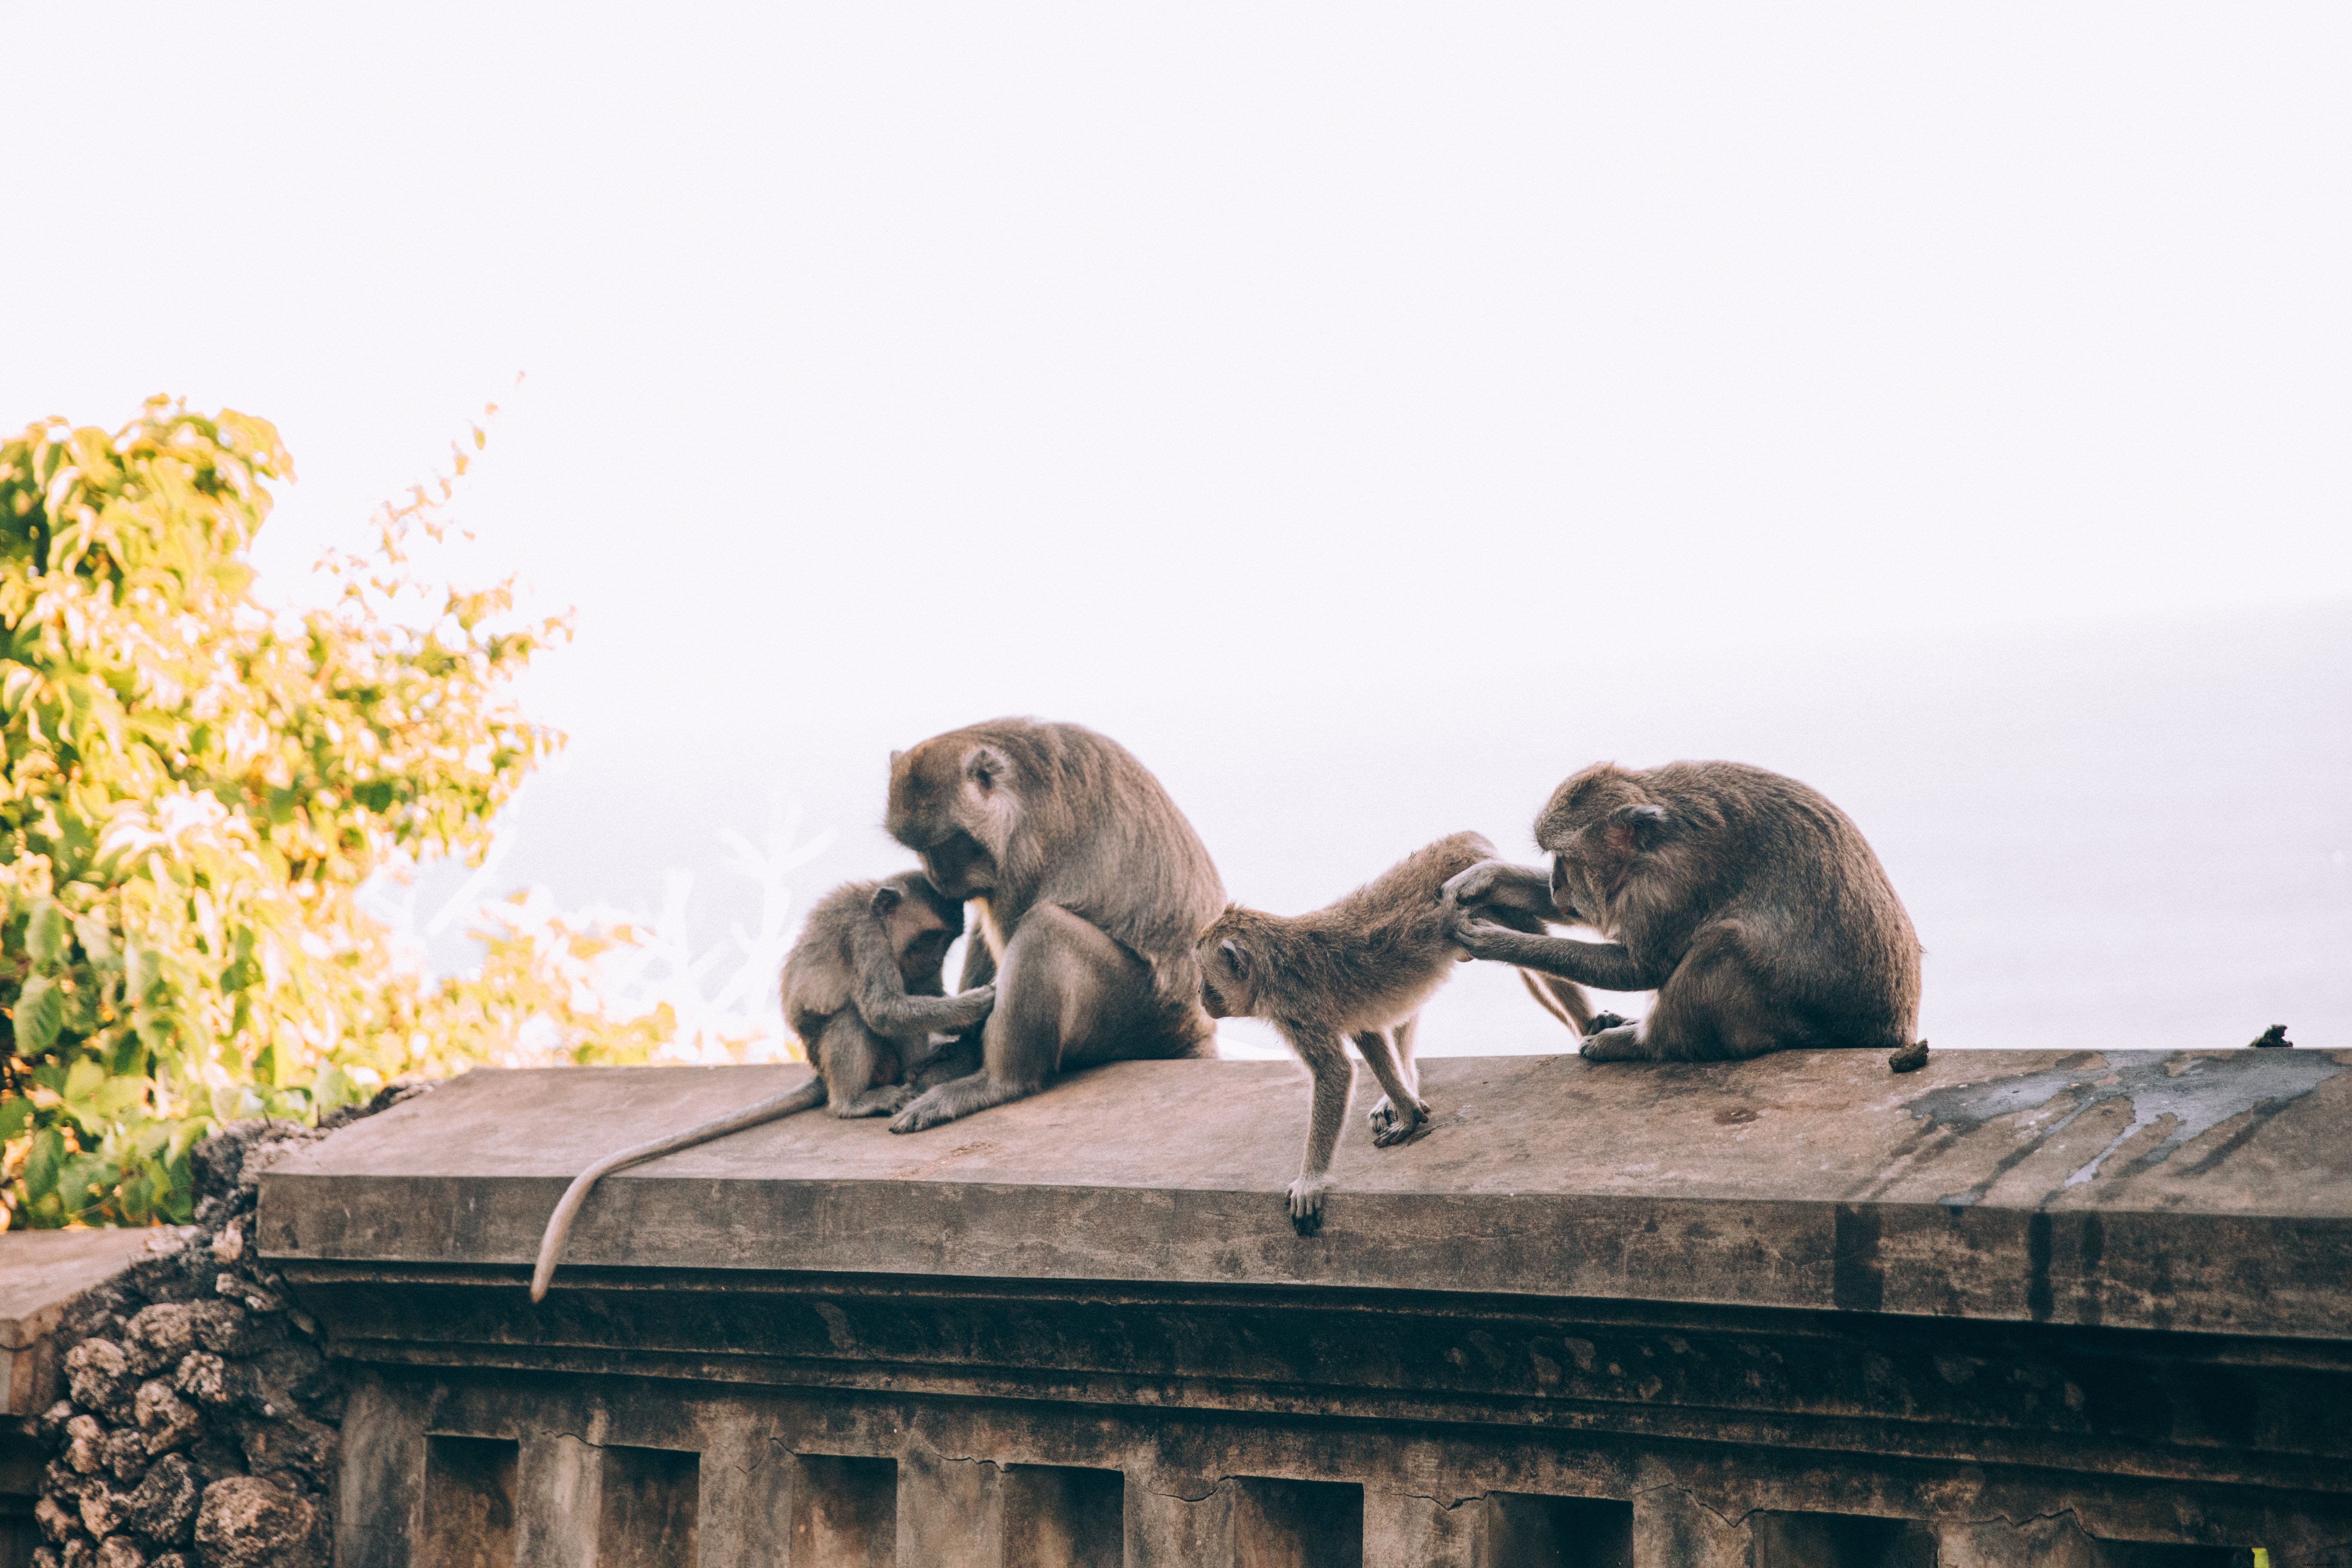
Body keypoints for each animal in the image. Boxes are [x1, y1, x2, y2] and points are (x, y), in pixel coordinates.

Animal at [529, 870, 993, 1302]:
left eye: (945, 943)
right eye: (927, 941)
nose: (930, 962)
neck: (877, 914)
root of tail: (821, 1074)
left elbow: (916, 997)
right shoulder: (864, 938)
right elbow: (884, 1008)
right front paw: (976, 1004)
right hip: (833, 1053)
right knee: (851, 1017)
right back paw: (853, 1102)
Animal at [881, 718, 1226, 1134]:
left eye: (948, 843)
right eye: (919, 848)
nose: (937, 878)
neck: (1017, 790)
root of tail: (1196, 1029)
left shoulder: (1021, 851)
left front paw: (965, 1054)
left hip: (1141, 1017)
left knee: (1045, 929)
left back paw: (999, 1083)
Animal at [1197, 832, 1592, 1236]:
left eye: (1206, 977)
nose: (1199, 995)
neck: (1270, 964)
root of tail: (1461, 839)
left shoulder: (1293, 1009)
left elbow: (1334, 1074)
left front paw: (1311, 1180)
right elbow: (1367, 1032)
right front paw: (1408, 1112)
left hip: (1489, 895)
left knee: (1533, 955)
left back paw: (1589, 1025)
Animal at [1443, 761, 1922, 1063]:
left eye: (1568, 858)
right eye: (1555, 861)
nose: (1556, 885)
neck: (1650, 844)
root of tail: (1892, 1034)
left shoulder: (1672, 884)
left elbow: (1643, 968)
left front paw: (1496, 942)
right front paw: (1483, 878)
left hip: (1800, 1030)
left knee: (1724, 946)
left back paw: (1642, 1045)